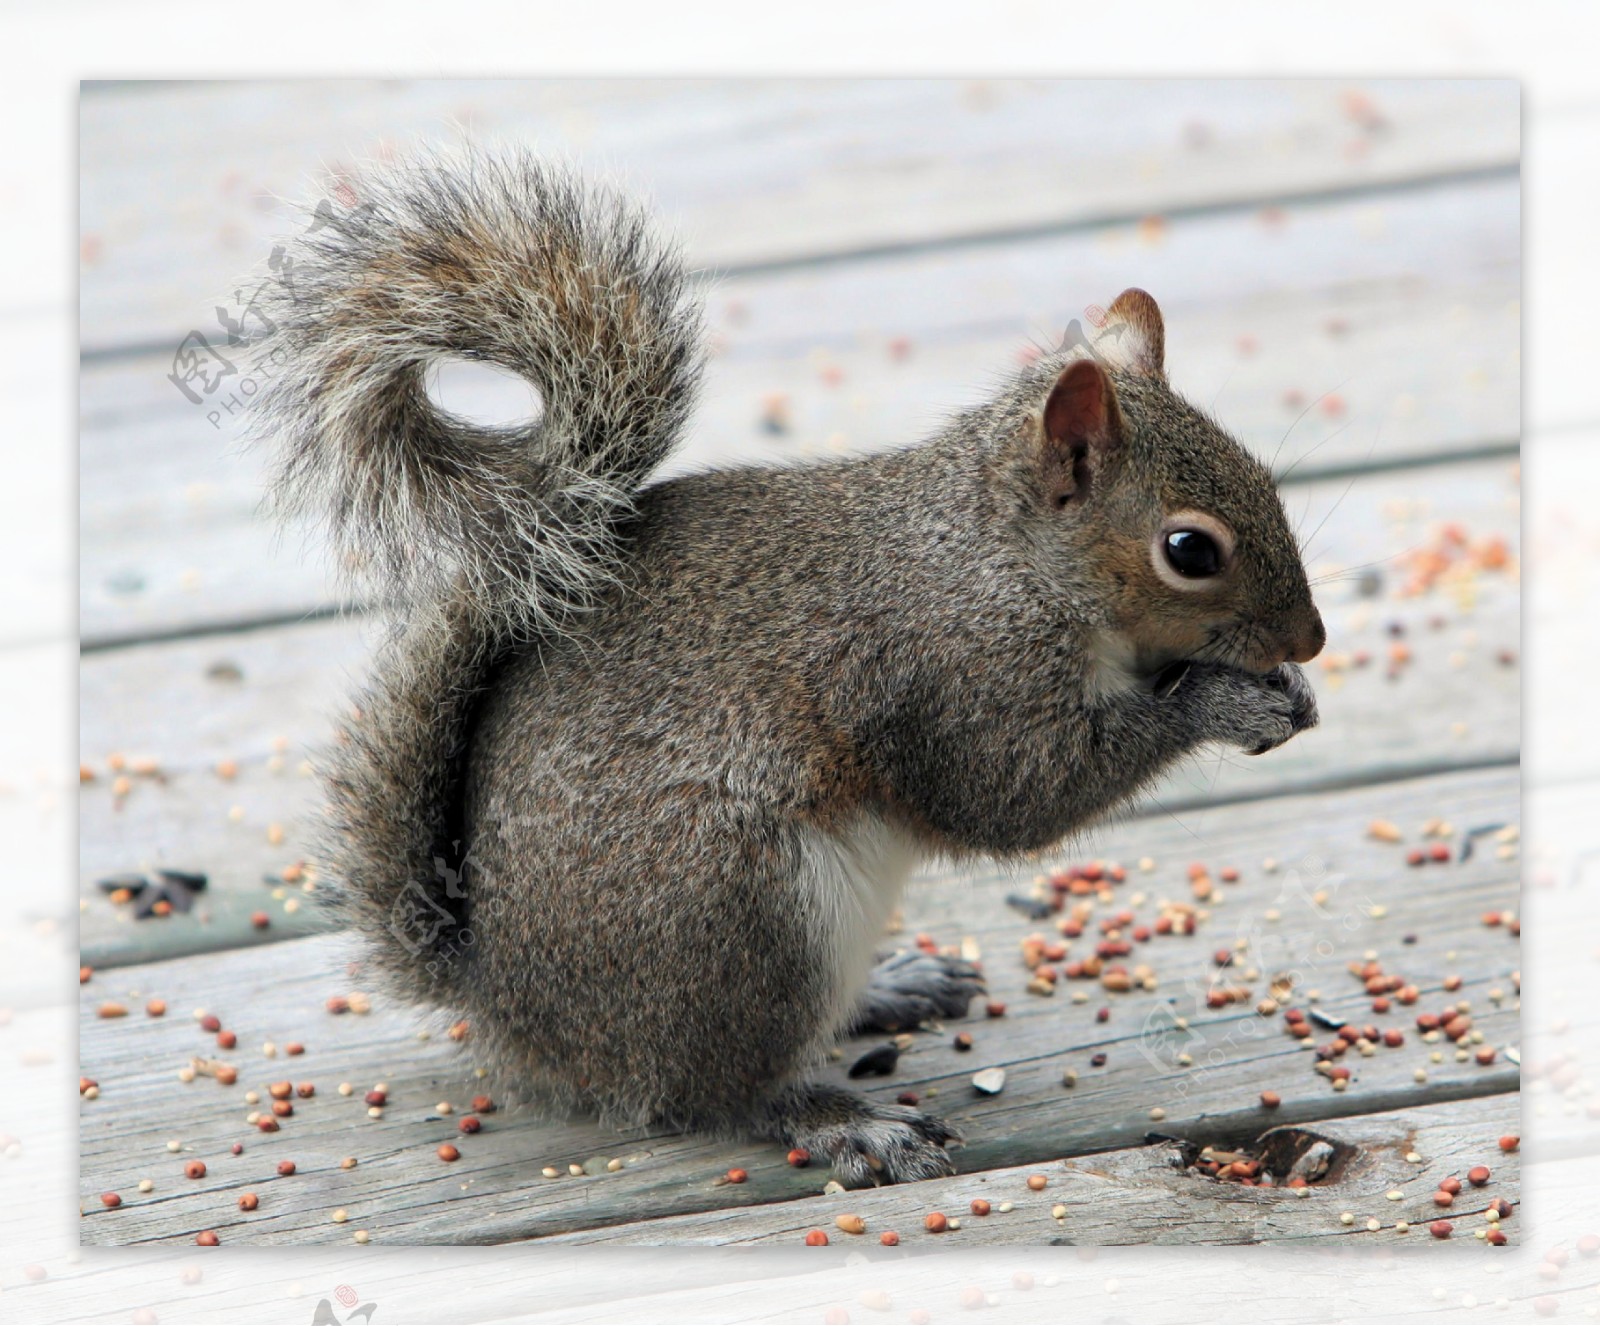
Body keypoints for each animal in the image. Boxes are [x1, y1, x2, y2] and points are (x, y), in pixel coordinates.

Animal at [249, 150, 1324, 1183]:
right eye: (1189, 551)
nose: (1309, 640)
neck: (1002, 556)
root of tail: (512, 1009)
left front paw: (1289, 693)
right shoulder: (954, 670)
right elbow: (1015, 795)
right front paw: (1225, 704)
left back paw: (896, 986)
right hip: (743, 917)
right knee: (716, 1091)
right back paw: (844, 1121)